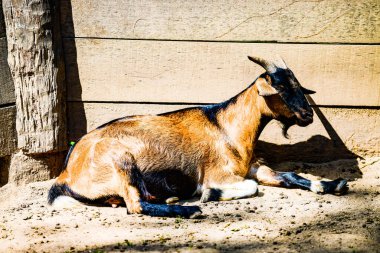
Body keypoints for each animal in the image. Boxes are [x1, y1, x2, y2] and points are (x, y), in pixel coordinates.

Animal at [47, 55, 348, 217]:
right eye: (281, 88)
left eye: (298, 84)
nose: (308, 115)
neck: (225, 126)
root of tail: (66, 173)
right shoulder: (220, 174)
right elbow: (250, 187)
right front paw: (208, 194)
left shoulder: (253, 167)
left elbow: (291, 175)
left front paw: (333, 184)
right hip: (122, 161)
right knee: (136, 205)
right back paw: (187, 209)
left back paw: (170, 199)